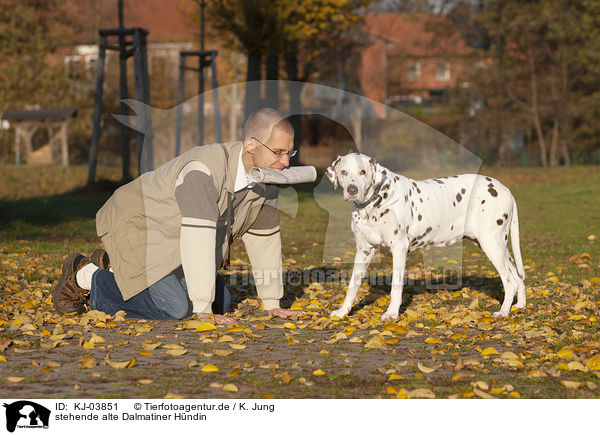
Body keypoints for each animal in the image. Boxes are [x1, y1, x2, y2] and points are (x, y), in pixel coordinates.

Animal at [326, 152, 528, 320]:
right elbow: (353, 286)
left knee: (510, 281)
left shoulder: (399, 249)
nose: (352, 190)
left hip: (491, 245)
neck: (373, 204)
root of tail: (506, 190)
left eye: (363, 172)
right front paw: (343, 311)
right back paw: (520, 305)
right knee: (517, 277)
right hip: (496, 247)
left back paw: (503, 311)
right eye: (343, 172)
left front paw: (391, 313)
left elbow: (396, 286)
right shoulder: (364, 251)